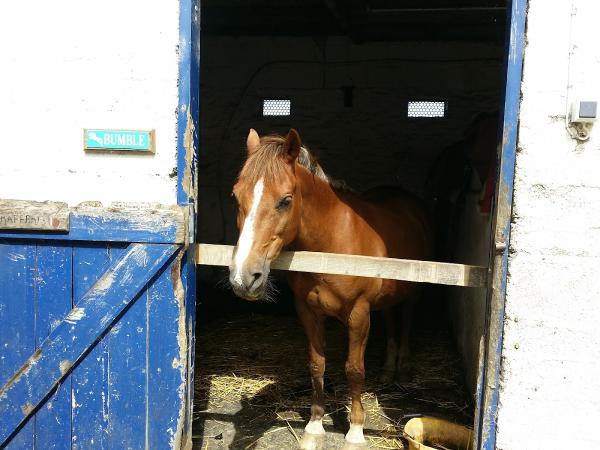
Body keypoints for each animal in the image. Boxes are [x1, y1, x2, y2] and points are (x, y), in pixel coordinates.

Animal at [229, 128, 432, 448]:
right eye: (236, 196)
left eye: (285, 200)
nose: (244, 277)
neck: (331, 243)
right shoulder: (308, 311)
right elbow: (317, 365)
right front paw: (314, 426)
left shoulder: (359, 315)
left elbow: (354, 370)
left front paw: (356, 431)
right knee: (390, 321)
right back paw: (388, 370)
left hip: (413, 291)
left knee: (407, 321)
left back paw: (404, 367)